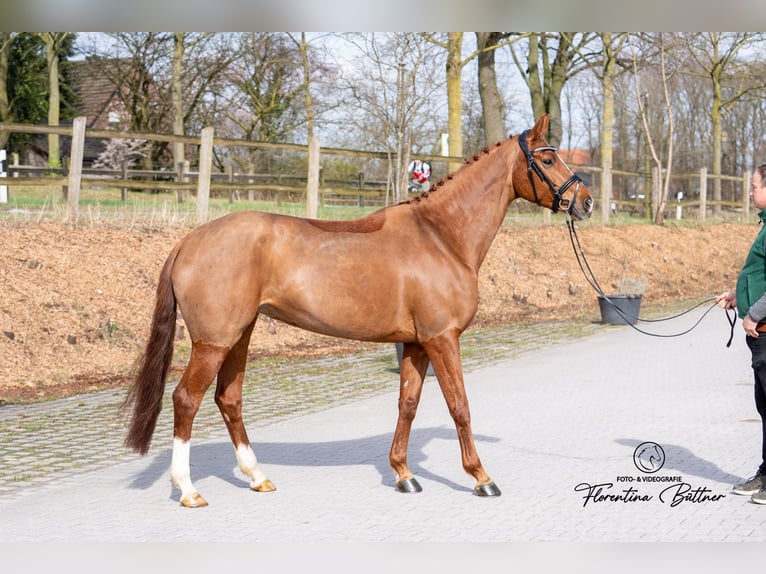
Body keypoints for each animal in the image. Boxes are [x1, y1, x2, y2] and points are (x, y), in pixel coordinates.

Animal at [123, 113, 594, 507]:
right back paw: (188, 489)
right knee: (186, 399)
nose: (585, 201)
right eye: (547, 158)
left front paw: (403, 474)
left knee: (228, 398)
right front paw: (481, 477)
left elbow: (408, 403)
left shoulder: (417, 344)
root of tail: (190, 240)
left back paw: (257, 477)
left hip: (240, 335)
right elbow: (459, 405)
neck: (441, 237)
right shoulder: (442, 338)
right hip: (214, 341)